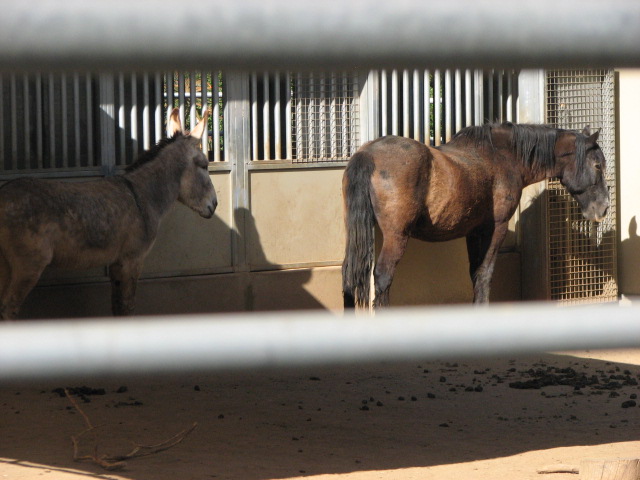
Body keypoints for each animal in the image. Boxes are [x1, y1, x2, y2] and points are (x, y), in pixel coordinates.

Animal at [0, 108, 217, 319]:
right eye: (204, 165)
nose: (214, 204)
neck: (142, 195)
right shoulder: (132, 260)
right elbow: (127, 307)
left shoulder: (116, 263)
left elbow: (116, 306)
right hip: (27, 266)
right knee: (7, 309)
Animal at [342, 122, 609, 310]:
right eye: (597, 165)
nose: (604, 208)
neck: (502, 157)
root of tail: (367, 155)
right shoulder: (496, 227)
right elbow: (485, 273)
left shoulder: (474, 231)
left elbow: (474, 272)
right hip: (396, 235)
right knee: (383, 276)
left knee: (349, 272)